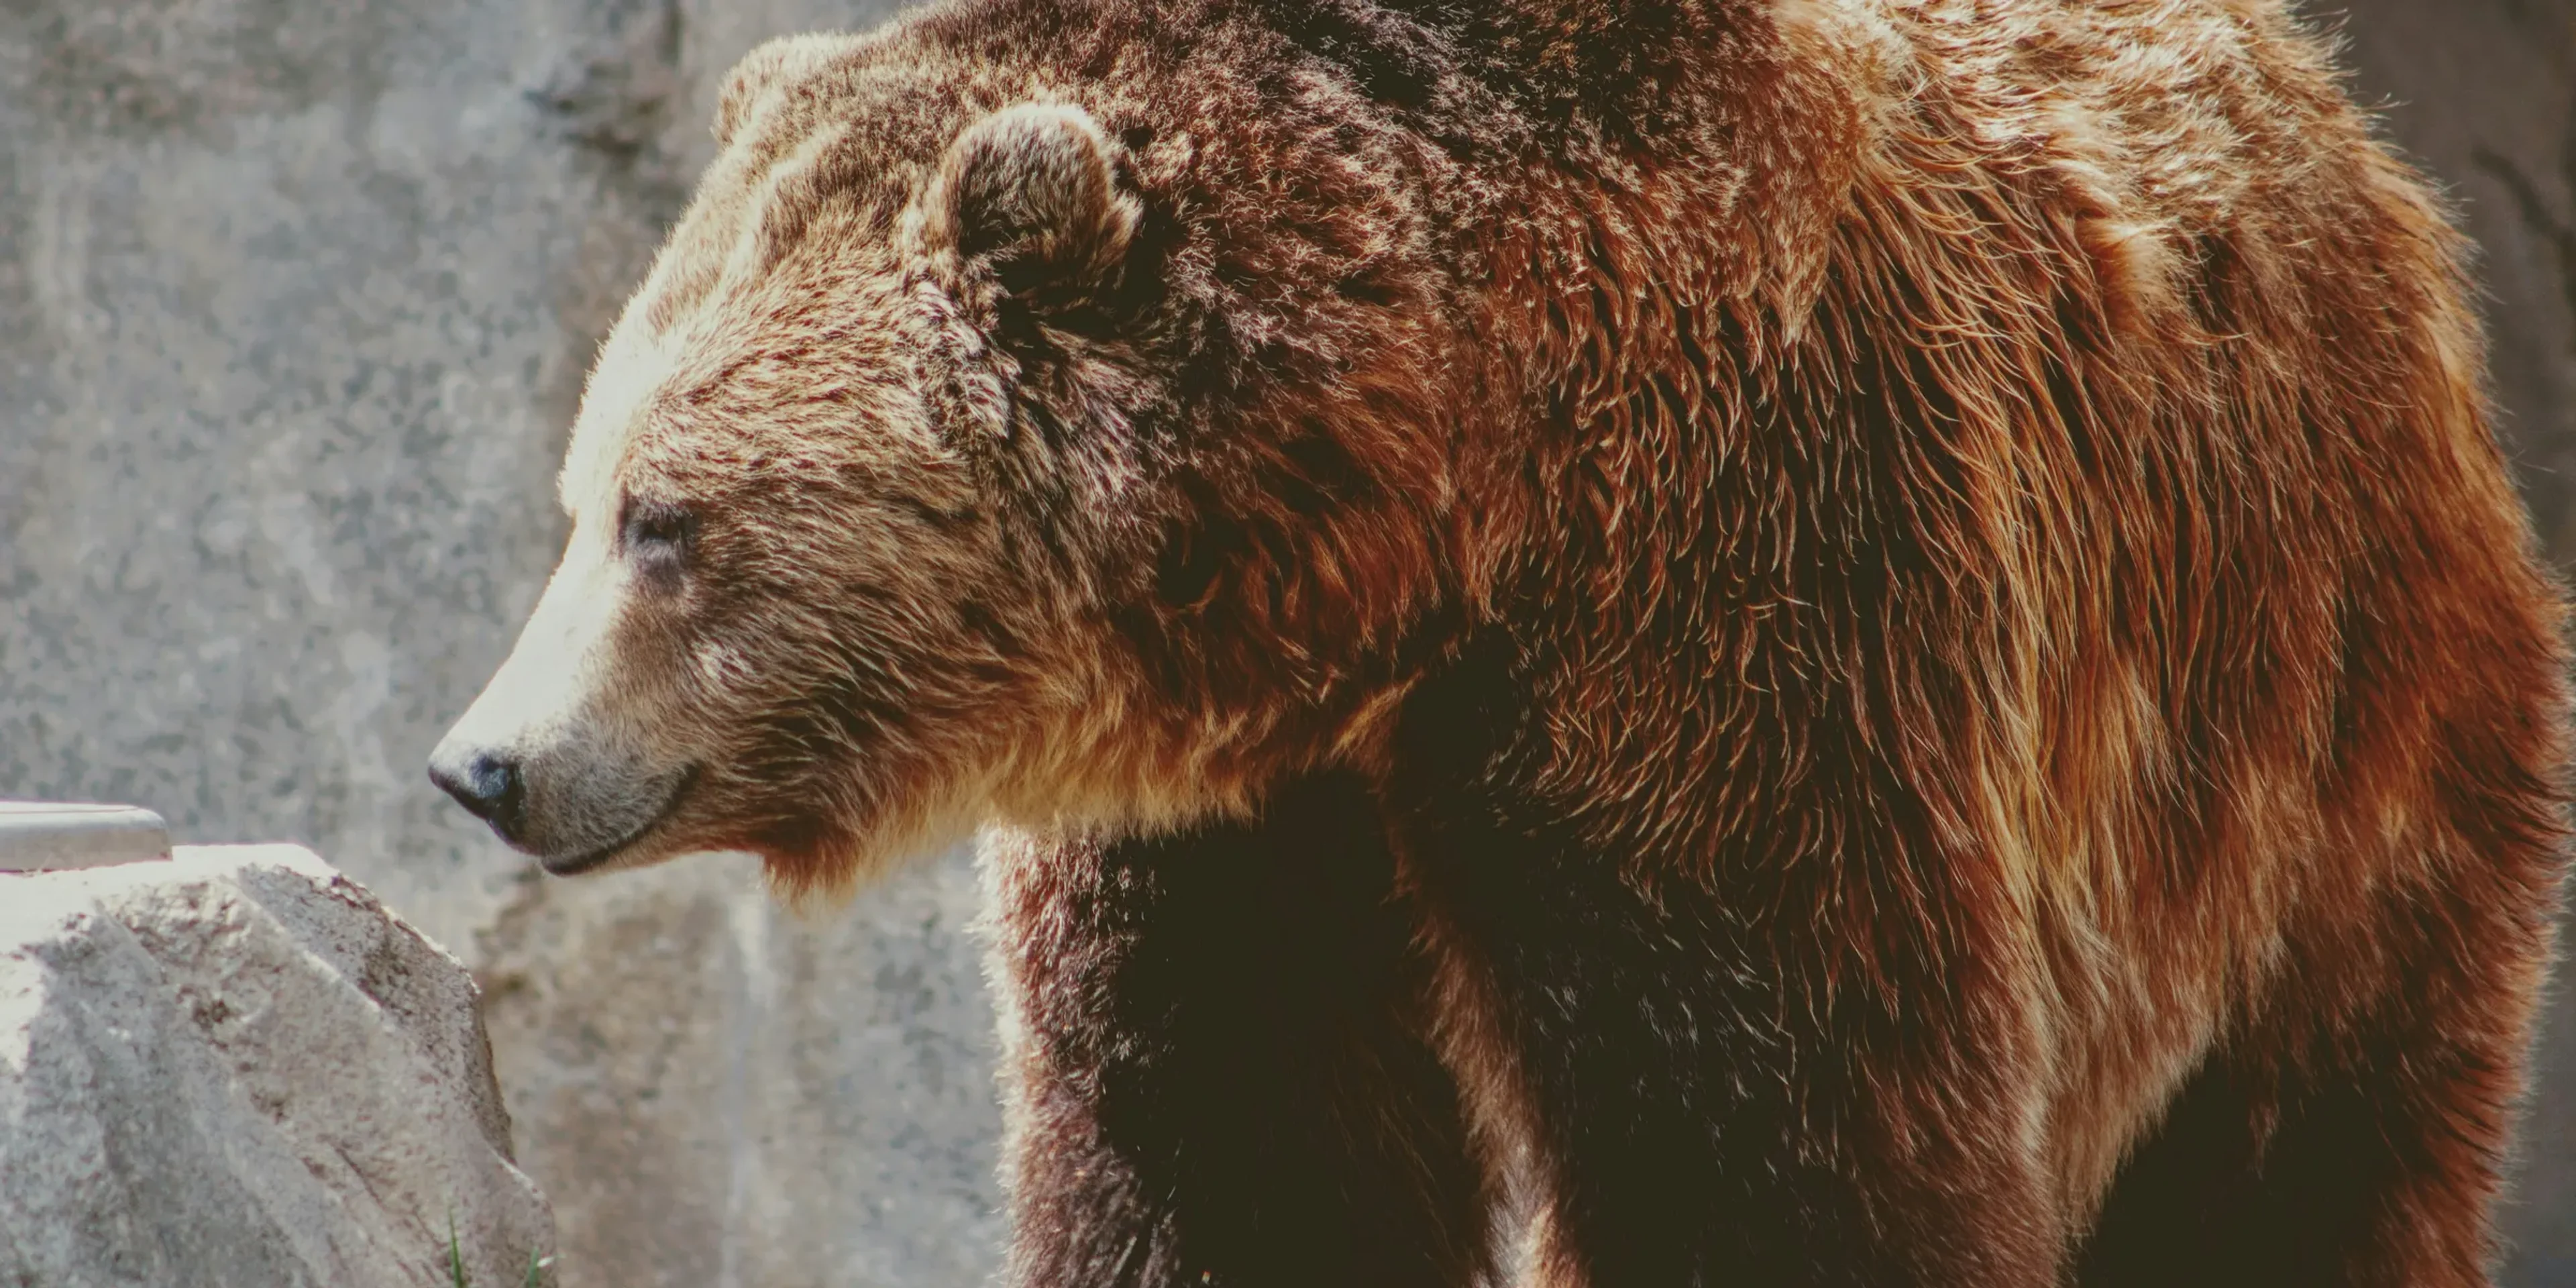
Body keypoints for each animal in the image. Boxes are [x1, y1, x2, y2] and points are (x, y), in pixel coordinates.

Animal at [428, 0, 2571, 1284]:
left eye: (665, 521)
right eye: (584, 494)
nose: (482, 761)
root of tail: (2348, 138)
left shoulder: (1738, 618)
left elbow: (1773, 1136)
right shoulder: (1235, 824)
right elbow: (1230, 1133)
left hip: (2320, 712)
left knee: (2299, 1133)